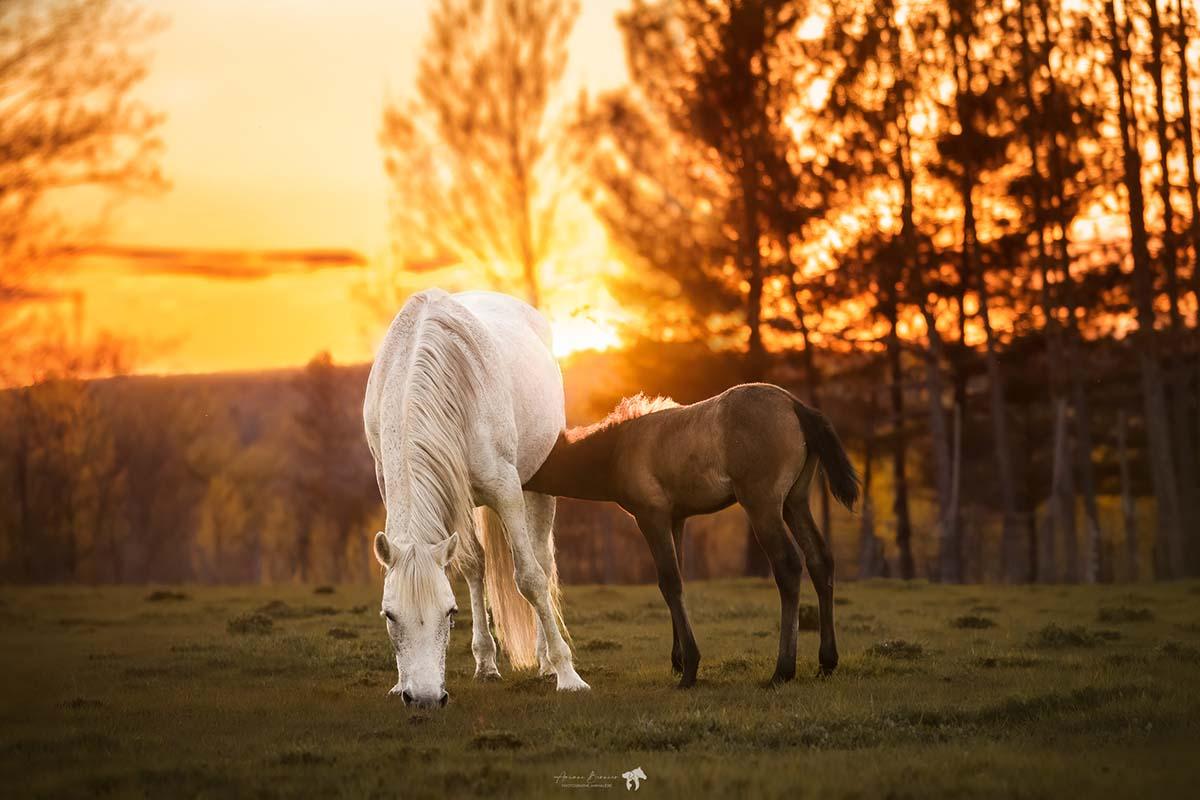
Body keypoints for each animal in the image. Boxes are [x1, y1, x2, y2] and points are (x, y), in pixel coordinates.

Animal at [364, 286, 590, 705]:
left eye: (450, 612)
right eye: (389, 615)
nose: (423, 698)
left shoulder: (506, 488)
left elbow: (530, 579)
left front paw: (568, 675)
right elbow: (471, 567)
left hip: (537, 485)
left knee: (541, 562)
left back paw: (546, 662)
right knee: (477, 566)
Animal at [530, 381, 859, 690]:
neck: (618, 449)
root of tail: (795, 405)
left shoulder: (651, 518)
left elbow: (669, 582)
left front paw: (689, 670)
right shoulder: (677, 519)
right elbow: (677, 580)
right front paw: (678, 661)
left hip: (762, 505)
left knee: (788, 565)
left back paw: (782, 671)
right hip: (795, 501)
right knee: (820, 559)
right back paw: (826, 663)